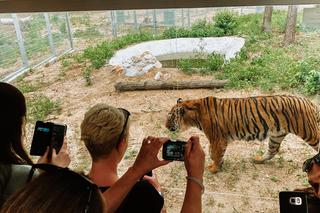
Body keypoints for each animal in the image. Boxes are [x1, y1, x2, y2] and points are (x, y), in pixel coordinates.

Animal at [165, 95, 320, 173]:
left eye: (170, 116)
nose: (165, 126)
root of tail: (310, 102)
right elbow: (213, 152)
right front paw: (218, 163)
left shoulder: (217, 139)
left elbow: (216, 153)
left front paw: (214, 168)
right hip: (277, 134)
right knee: (273, 150)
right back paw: (258, 159)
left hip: (309, 133)